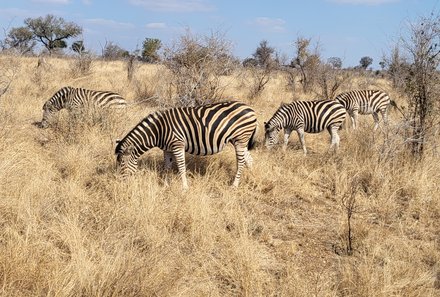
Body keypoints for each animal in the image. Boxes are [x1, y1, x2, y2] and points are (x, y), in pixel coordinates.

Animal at [114, 100, 258, 188]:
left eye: (122, 163)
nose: (121, 183)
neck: (159, 130)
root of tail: (250, 108)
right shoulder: (167, 149)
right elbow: (166, 167)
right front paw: (165, 185)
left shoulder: (178, 144)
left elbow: (181, 166)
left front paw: (184, 188)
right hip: (239, 140)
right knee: (249, 159)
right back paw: (251, 177)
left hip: (240, 139)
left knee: (241, 162)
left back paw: (234, 185)